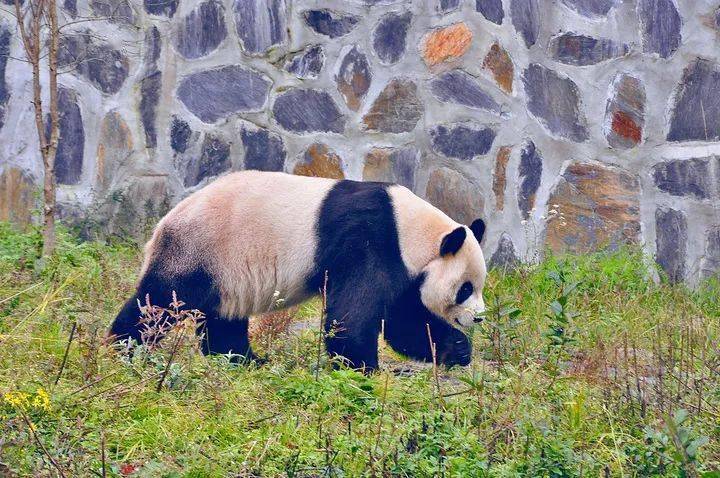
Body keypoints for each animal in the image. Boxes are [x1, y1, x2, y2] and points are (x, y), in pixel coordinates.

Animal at [108, 170, 490, 372]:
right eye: (465, 288)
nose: (479, 317)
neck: (410, 228)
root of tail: (162, 225)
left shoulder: (402, 264)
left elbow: (404, 320)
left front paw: (458, 349)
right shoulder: (370, 240)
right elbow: (352, 316)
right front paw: (363, 368)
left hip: (225, 271)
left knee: (223, 319)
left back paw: (245, 360)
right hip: (201, 249)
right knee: (159, 301)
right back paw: (123, 349)